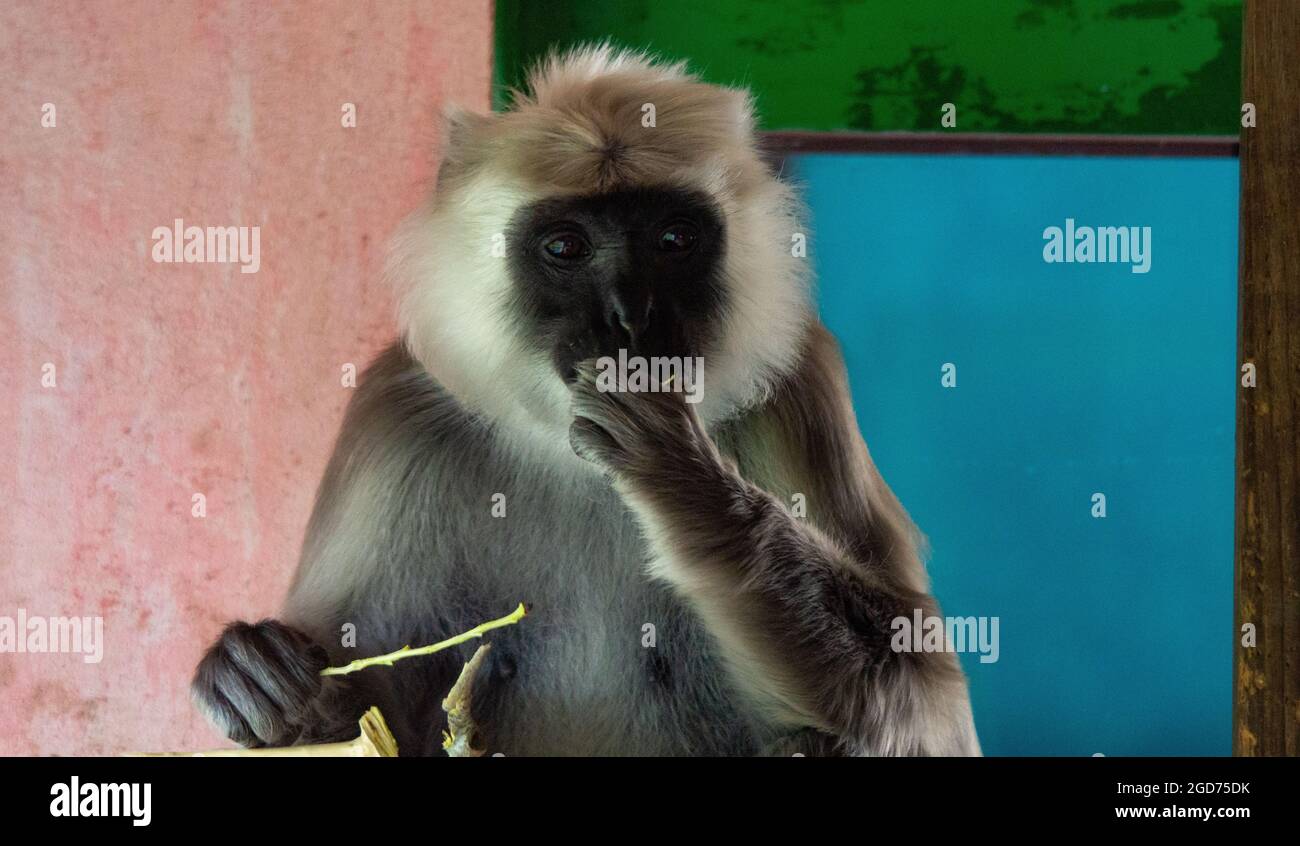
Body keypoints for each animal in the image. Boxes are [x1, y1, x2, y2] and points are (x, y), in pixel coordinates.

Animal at [189, 46, 977, 758]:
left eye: (673, 239)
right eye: (566, 247)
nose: (629, 317)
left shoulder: (802, 389)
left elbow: (930, 704)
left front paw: (681, 476)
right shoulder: (398, 418)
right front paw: (273, 691)